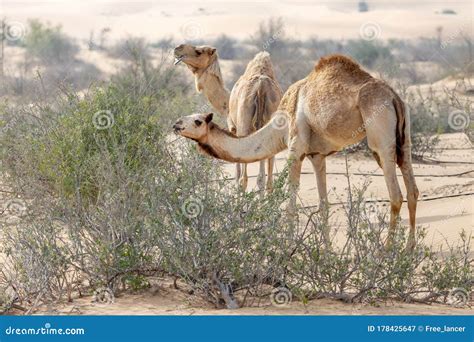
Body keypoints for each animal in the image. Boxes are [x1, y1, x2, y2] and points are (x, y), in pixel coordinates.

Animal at [173, 44, 282, 191]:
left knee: (245, 179)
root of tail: (261, 88)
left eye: (199, 51)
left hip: (243, 126)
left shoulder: (233, 128)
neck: (226, 106)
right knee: (268, 180)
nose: (177, 48)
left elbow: (237, 174)